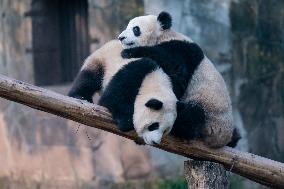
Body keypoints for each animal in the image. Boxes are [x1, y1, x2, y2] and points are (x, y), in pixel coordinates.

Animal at [69, 11, 240, 148]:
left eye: (135, 29)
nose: (121, 37)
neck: (164, 35)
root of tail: (222, 138)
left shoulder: (182, 51)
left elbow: (175, 74)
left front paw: (130, 53)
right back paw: (81, 97)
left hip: (210, 116)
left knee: (193, 114)